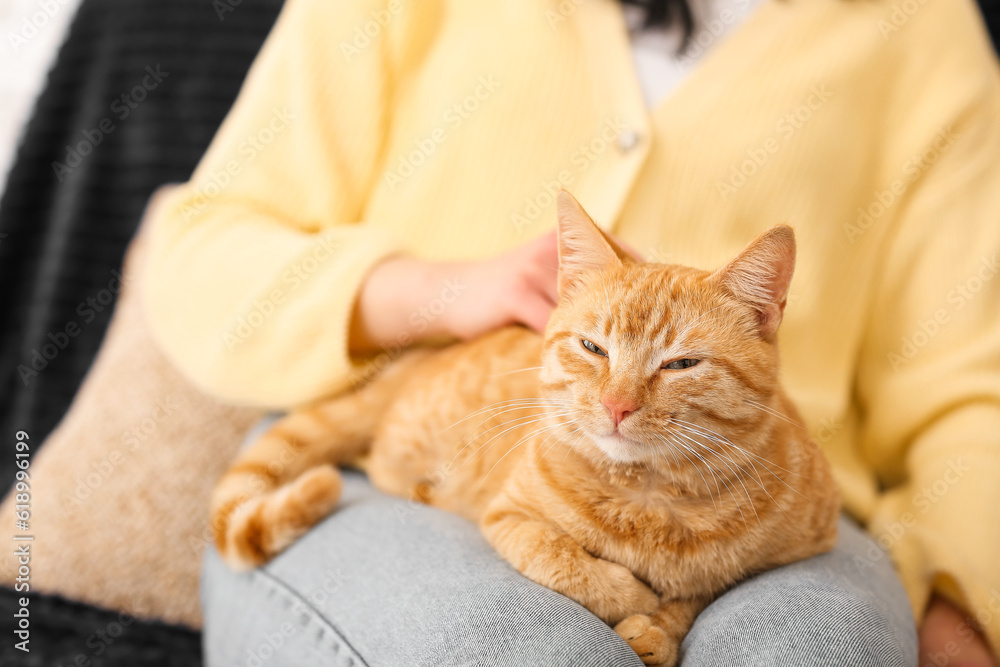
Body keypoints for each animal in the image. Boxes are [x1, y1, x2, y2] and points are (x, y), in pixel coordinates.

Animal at [213, 190, 844, 664]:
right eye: (593, 348)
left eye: (681, 364)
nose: (617, 405)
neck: (649, 497)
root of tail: (418, 358)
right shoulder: (509, 517)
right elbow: (563, 559)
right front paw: (630, 595)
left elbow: (700, 590)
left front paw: (658, 629)